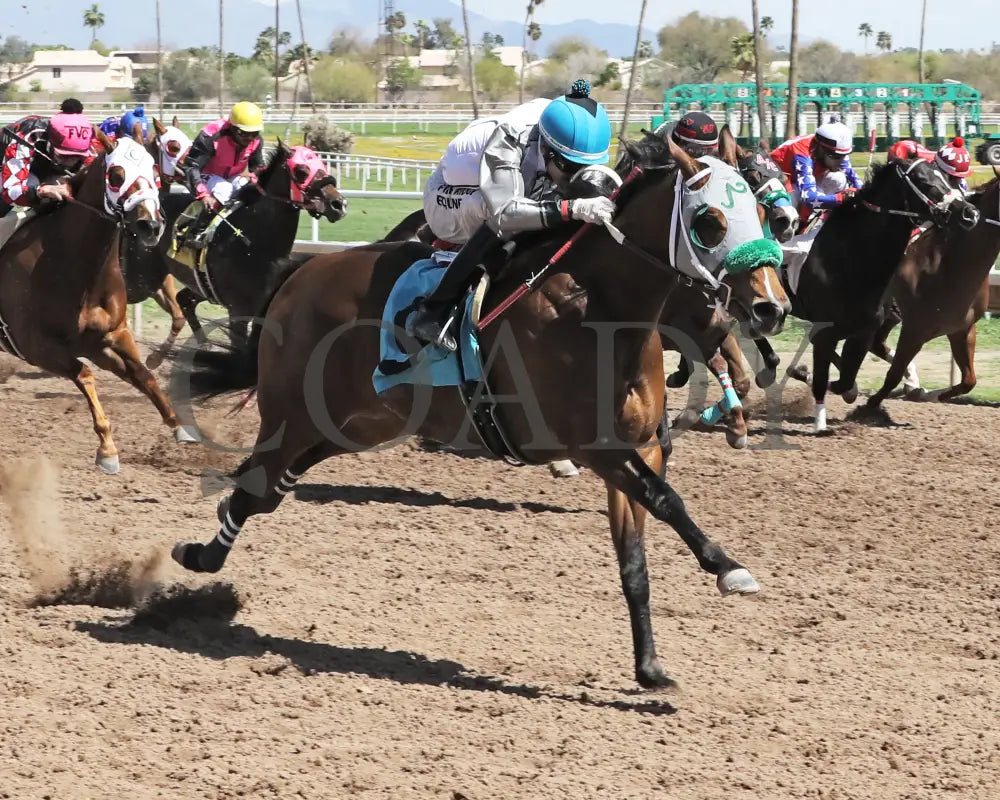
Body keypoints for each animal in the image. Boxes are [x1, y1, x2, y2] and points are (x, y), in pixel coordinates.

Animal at [0, 134, 199, 476]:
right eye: (116, 176)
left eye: (154, 172)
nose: (150, 226)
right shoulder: (38, 348)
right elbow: (85, 375)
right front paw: (107, 449)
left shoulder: (110, 336)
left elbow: (143, 374)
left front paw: (180, 426)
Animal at [166, 131, 788, 688]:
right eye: (709, 220)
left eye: (763, 213)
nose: (769, 308)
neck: (600, 309)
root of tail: (299, 276)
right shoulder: (596, 447)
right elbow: (666, 500)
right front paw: (729, 568)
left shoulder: (640, 449)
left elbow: (635, 560)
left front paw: (651, 668)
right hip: (293, 415)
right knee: (255, 481)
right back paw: (198, 558)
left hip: (351, 426)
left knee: (266, 490)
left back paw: (204, 551)